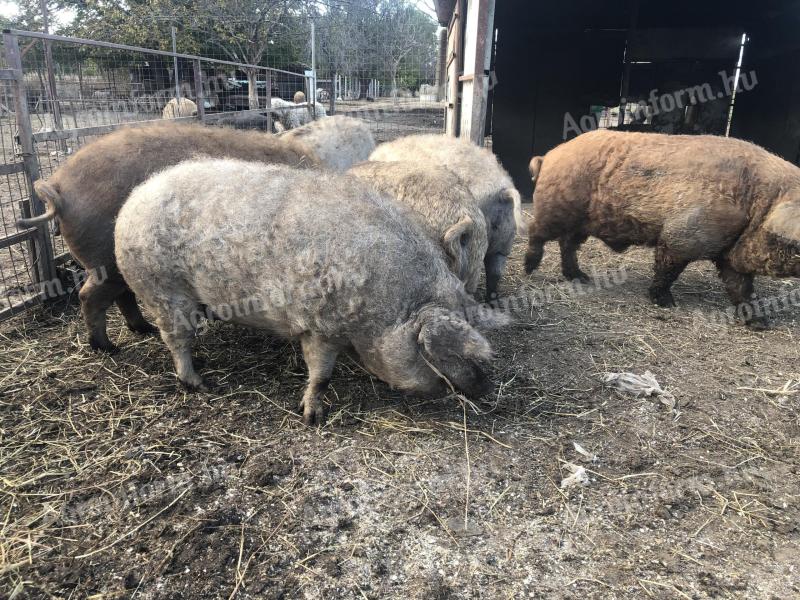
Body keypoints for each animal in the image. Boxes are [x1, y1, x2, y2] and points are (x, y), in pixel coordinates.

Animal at [18, 123, 318, 354]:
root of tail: (58, 185)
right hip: (106, 261)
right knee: (90, 296)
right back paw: (108, 347)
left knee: (122, 296)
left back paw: (144, 330)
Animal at [524, 129, 800, 330]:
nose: (763, 326)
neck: (757, 204)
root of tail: (549, 155)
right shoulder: (681, 236)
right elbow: (668, 269)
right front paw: (666, 303)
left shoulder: (730, 254)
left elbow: (742, 289)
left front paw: (760, 324)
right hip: (556, 209)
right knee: (536, 231)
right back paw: (529, 268)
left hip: (582, 222)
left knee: (567, 244)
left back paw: (581, 277)